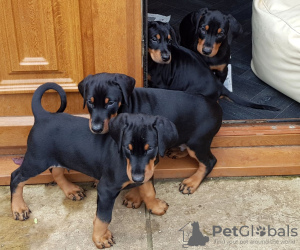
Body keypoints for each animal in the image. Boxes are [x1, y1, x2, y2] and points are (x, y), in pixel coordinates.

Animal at [9, 82, 178, 248]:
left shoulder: (147, 172)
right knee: (16, 177)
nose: (136, 178)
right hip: (37, 160)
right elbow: (103, 217)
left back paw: (71, 190)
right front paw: (100, 237)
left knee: (56, 172)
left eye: (150, 148)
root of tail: (44, 116)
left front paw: (155, 206)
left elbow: (149, 191)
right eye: (127, 148)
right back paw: (19, 208)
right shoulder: (106, 189)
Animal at [77, 72, 223, 195]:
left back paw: (192, 182)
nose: (96, 128)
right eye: (90, 102)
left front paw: (133, 198)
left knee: (209, 161)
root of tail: (217, 107)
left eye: (110, 102)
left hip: (198, 142)